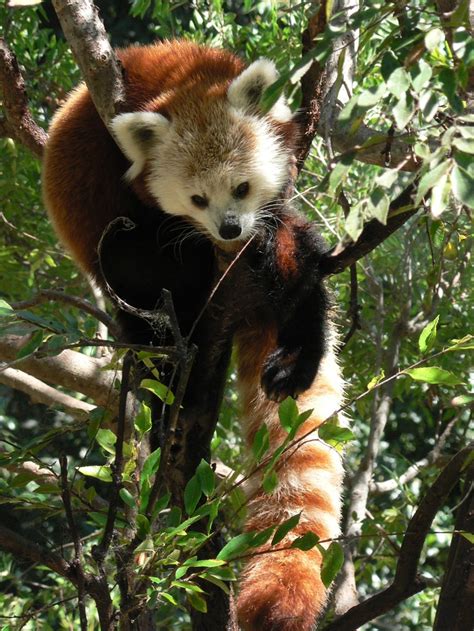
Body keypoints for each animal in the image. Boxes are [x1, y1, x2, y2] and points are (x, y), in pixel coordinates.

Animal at [42, 40, 342, 631]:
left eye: (242, 187)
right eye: (198, 199)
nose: (229, 229)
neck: (179, 84)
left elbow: (291, 237)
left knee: (294, 263)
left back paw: (297, 350)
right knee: (140, 287)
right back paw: (173, 403)